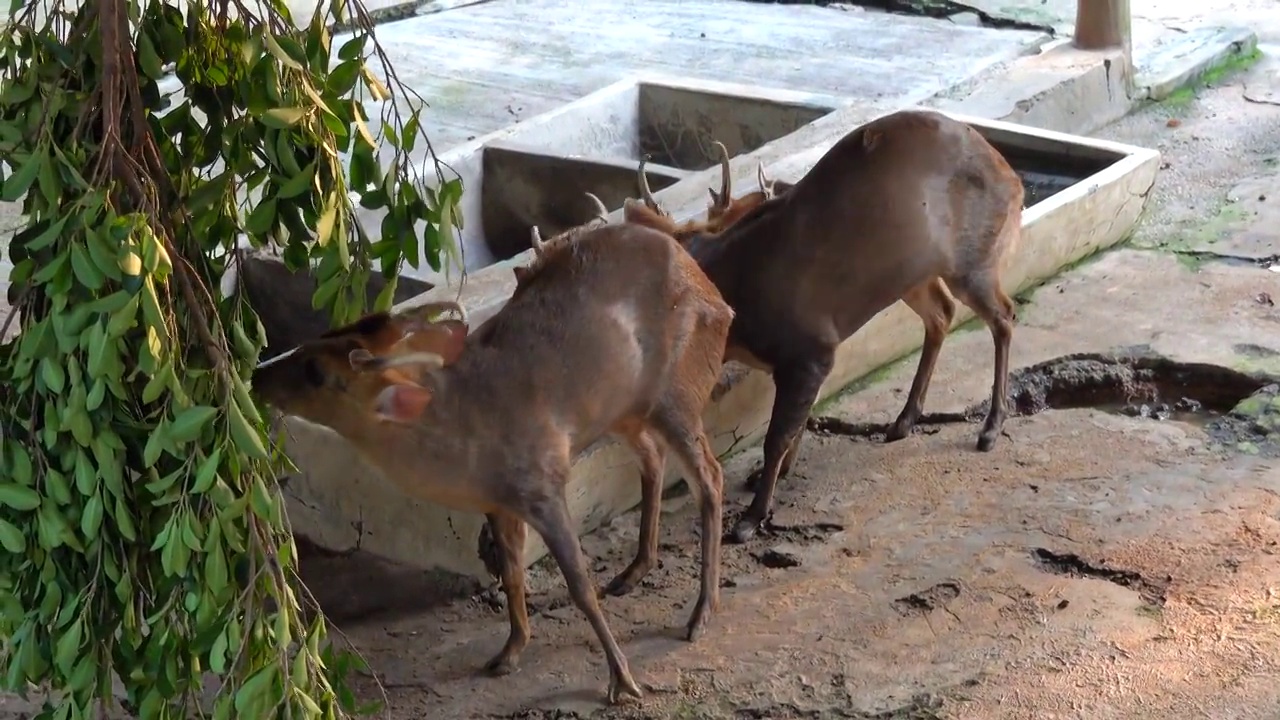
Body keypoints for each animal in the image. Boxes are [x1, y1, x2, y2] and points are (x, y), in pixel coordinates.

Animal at [252, 220, 732, 702]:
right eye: (319, 337)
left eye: (316, 372)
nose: (257, 375)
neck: (459, 429)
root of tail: (713, 290)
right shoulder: (499, 503)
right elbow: (512, 574)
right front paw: (509, 652)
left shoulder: (542, 485)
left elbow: (579, 585)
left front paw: (622, 679)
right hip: (623, 409)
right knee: (653, 457)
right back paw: (634, 571)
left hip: (677, 391)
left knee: (710, 476)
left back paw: (700, 613)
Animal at [624, 109, 1024, 540]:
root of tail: (1012, 178)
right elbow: (797, 423)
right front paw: (770, 478)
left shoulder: (810, 349)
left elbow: (777, 436)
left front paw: (751, 517)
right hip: (911, 274)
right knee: (942, 313)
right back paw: (904, 420)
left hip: (973, 259)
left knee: (1003, 316)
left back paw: (990, 427)